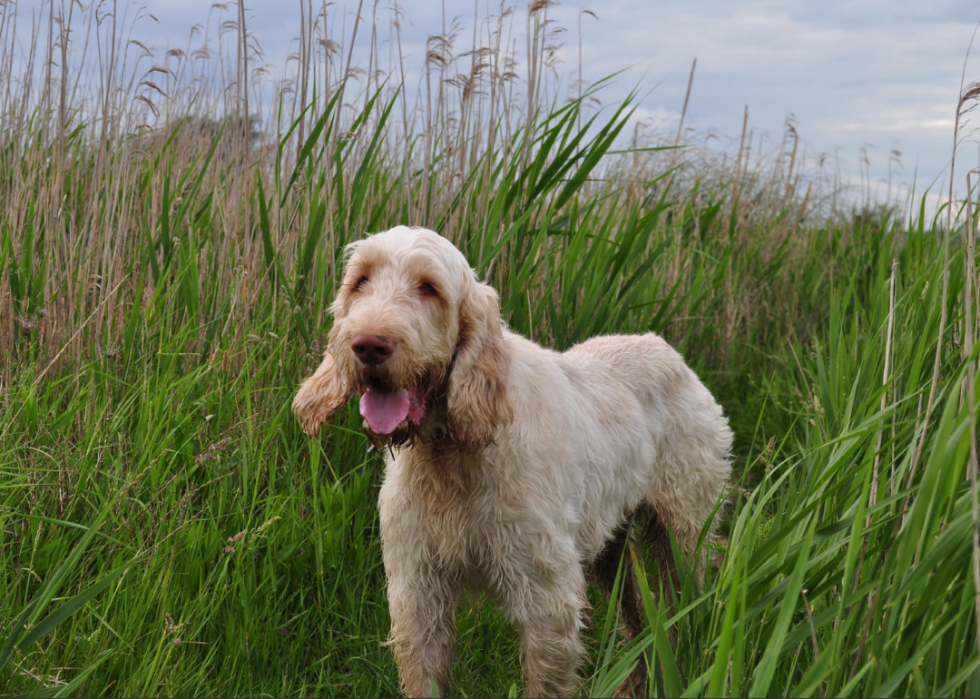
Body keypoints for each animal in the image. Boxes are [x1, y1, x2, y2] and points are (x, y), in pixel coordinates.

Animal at [294, 227, 732, 696]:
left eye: (428, 287)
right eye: (360, 280)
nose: (369, 346)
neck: (450, 455)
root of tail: (666, 348)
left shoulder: (547, 597)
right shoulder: (418, 591)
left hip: (685, 536)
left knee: (683, 613)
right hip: (611, 548)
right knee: (641, 623)